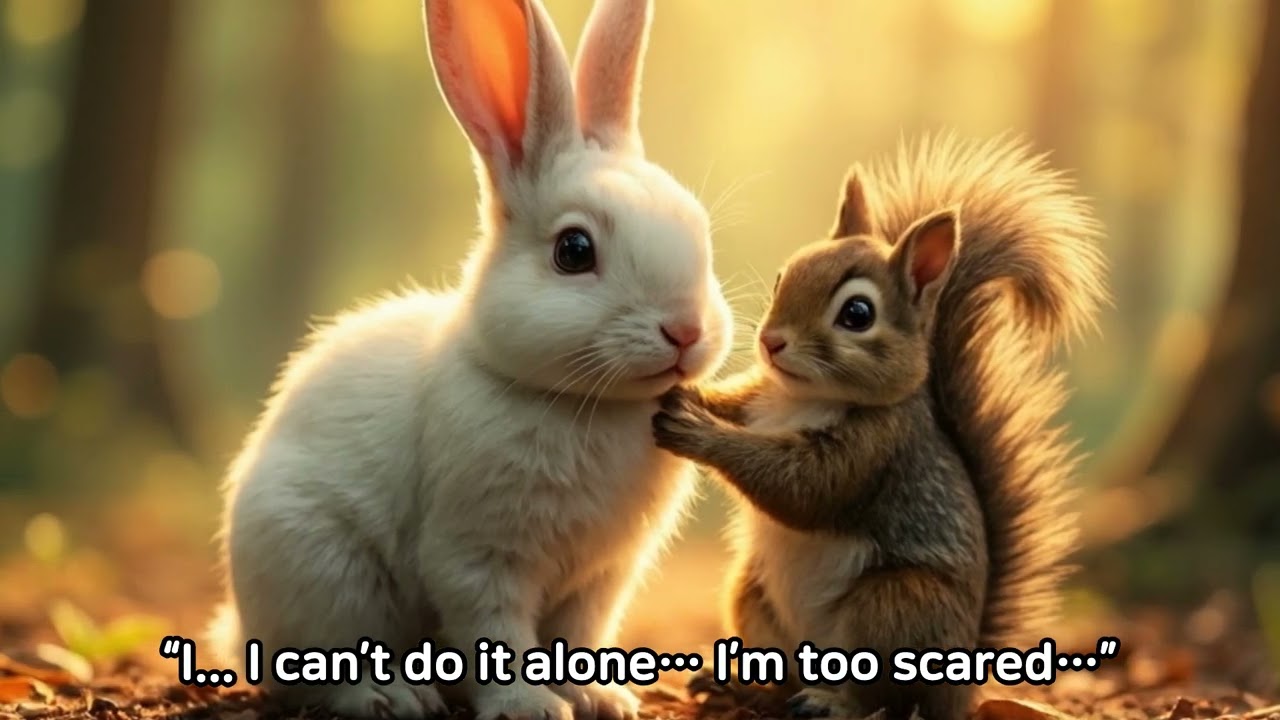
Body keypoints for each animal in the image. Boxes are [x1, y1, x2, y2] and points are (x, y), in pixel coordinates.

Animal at [204, 1, 734, 719]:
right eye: (573, 251)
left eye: (699, 229)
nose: (685, 330)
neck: (582, 404)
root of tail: (241, 628)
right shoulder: (478, 557)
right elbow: (496, 630)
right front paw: (529, 705)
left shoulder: (600, 577)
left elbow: (578, 634)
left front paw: (598, 697)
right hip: (322, 568)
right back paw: (393, 695)